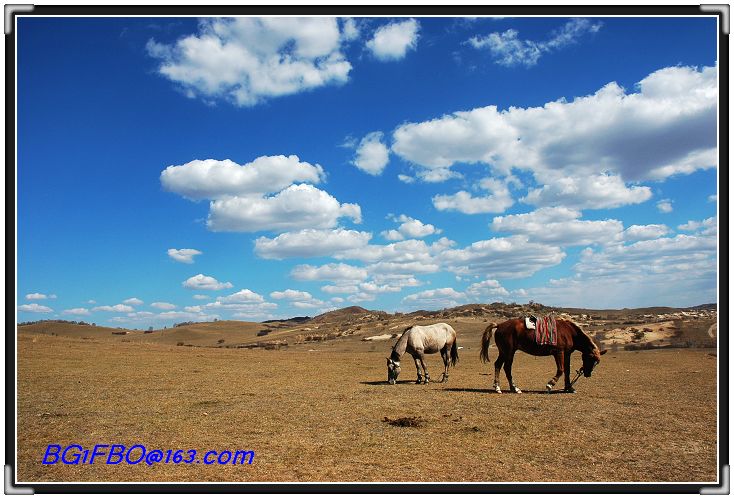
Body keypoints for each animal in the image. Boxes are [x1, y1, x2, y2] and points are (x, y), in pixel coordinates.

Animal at [480, 320, 608, 394]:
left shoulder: (567, 354)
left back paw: (502, 387)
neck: (570, 332)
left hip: (504, 352)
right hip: (508, 352)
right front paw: (550, 384)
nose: (587, 374)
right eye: (590, 359)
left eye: (597, 362)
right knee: (506, 368)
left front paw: (569, 388)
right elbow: (561, 370)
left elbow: (567, 371)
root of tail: (500, 325)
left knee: (499, 365)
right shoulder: (558, 352)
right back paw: (511, 388)